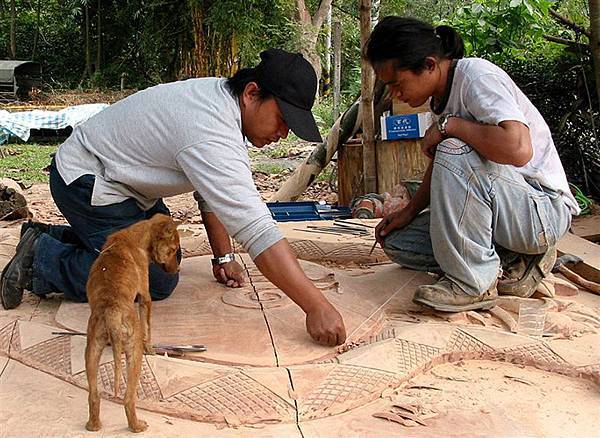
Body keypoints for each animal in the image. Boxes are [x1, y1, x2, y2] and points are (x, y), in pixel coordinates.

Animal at [84, 214, 179, 432]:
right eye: (174, 249)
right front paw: (152, 349)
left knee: (93, 395)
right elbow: (147, 328)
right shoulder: (145, 297)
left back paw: (93, 425)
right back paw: (136, 426)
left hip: (92, 349)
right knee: (128, 399)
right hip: (134, 353)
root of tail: (111, 310)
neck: (134, 236)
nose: (177, 268)